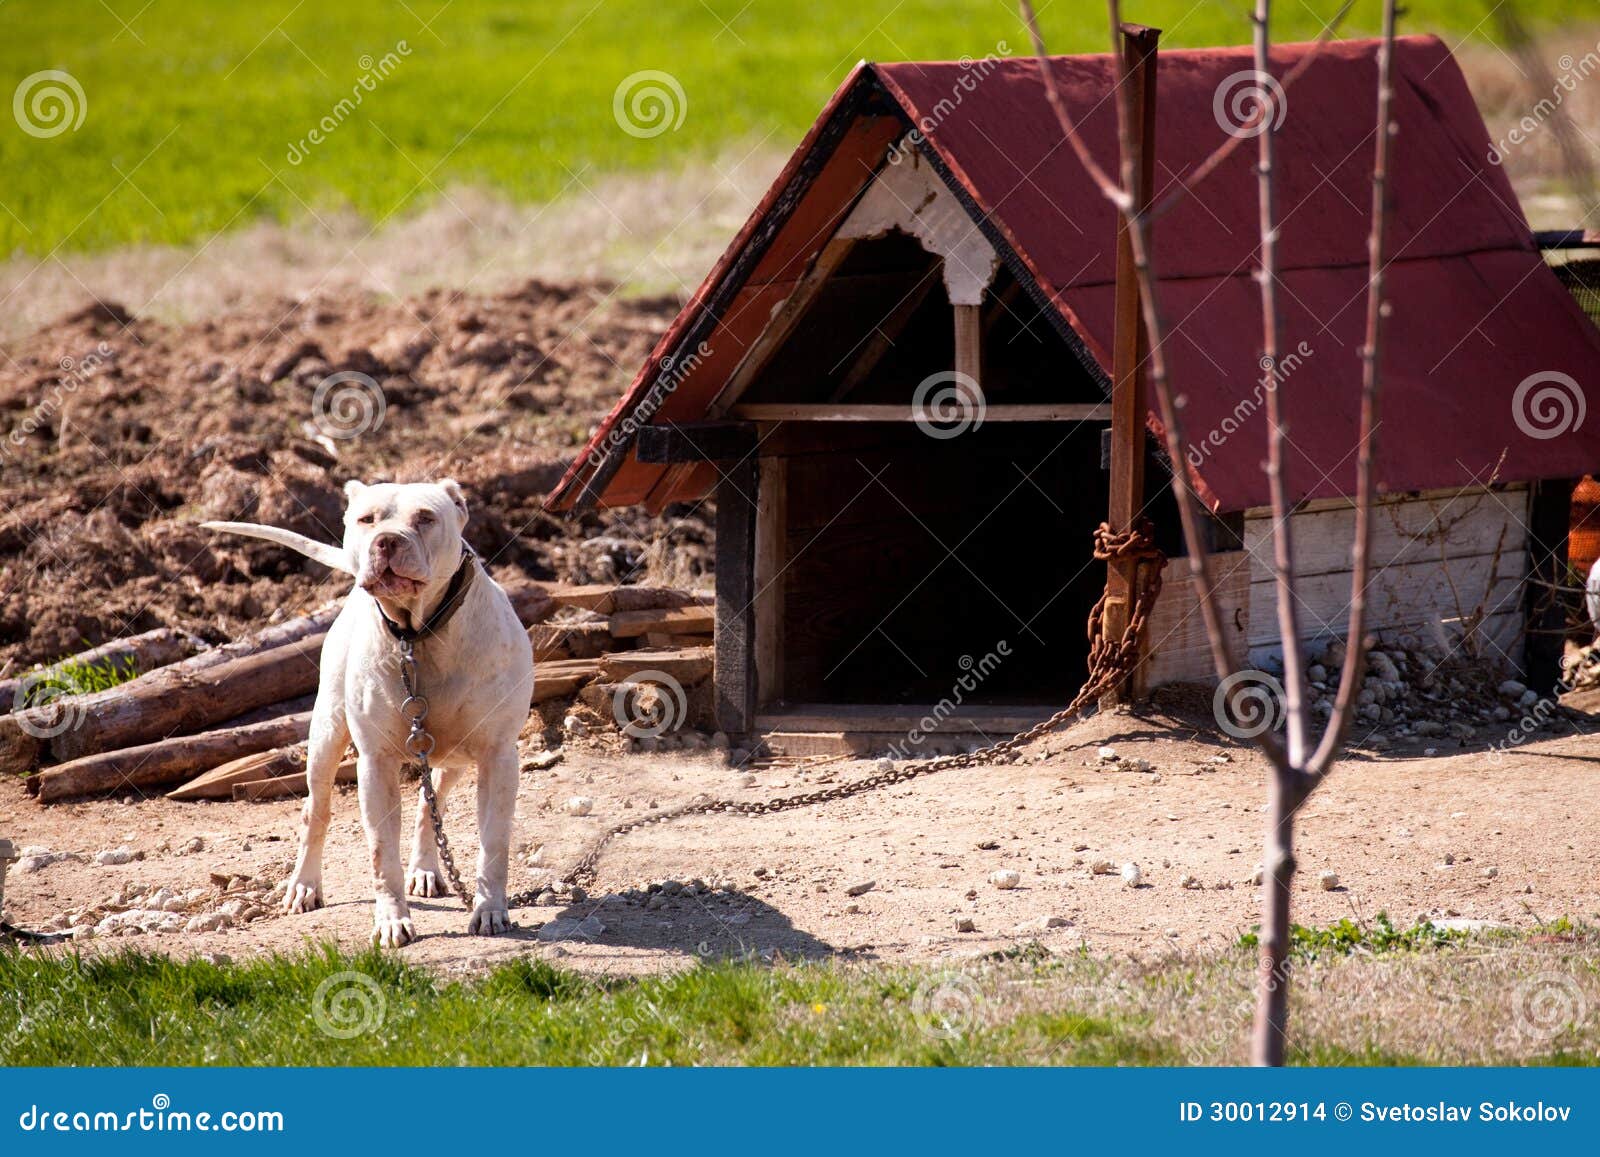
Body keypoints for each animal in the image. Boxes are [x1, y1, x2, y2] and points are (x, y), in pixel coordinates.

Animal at [203, 483, 531, 947]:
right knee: (316, 810)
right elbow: (381, 854)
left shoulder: (498, 757)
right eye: (367, 519)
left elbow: (493, 844)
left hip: (456, 758)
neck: (419, 633)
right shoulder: (376, 765)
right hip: (326, 737)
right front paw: (392, 920)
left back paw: (426, 868)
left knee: (430, 803)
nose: (387, 541)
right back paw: (304, 885)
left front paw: (489, 910)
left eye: (425, 518)